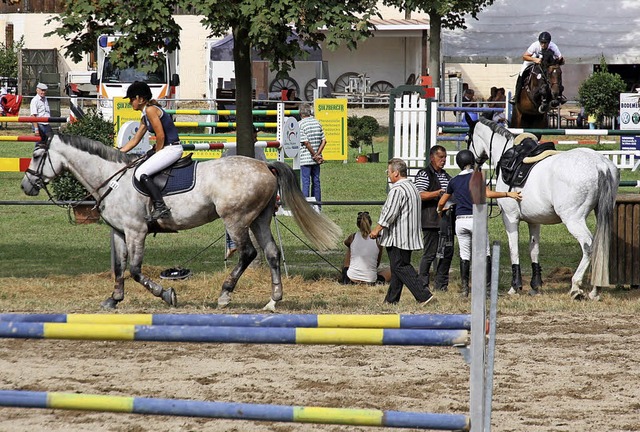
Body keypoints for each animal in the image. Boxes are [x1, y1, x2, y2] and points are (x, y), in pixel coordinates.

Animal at [20, 135, 342, 310]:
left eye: (36, 155)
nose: (26, 186)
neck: (112, 178)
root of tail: (264, 165)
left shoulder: (136, 231)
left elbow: (135, 270)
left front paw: (166, 294)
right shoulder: (120, 232)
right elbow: (119, 268)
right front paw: (113, 299)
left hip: (236, 219)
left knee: (248, 253)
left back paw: (225, 295)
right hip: (259, 219)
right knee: (272, 254)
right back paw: (274, 300)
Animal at [468, 118, 616, 300]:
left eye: (468, 137)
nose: (473, 163)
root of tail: (600, 165)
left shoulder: (510, 218)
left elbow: (514, 250)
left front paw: (515, 286)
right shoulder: (534, 221)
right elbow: (534, 250)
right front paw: (535, 285)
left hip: (573, 219)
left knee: (589, 246)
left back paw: (575, 287)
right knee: (601, 247)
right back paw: (595, 290)